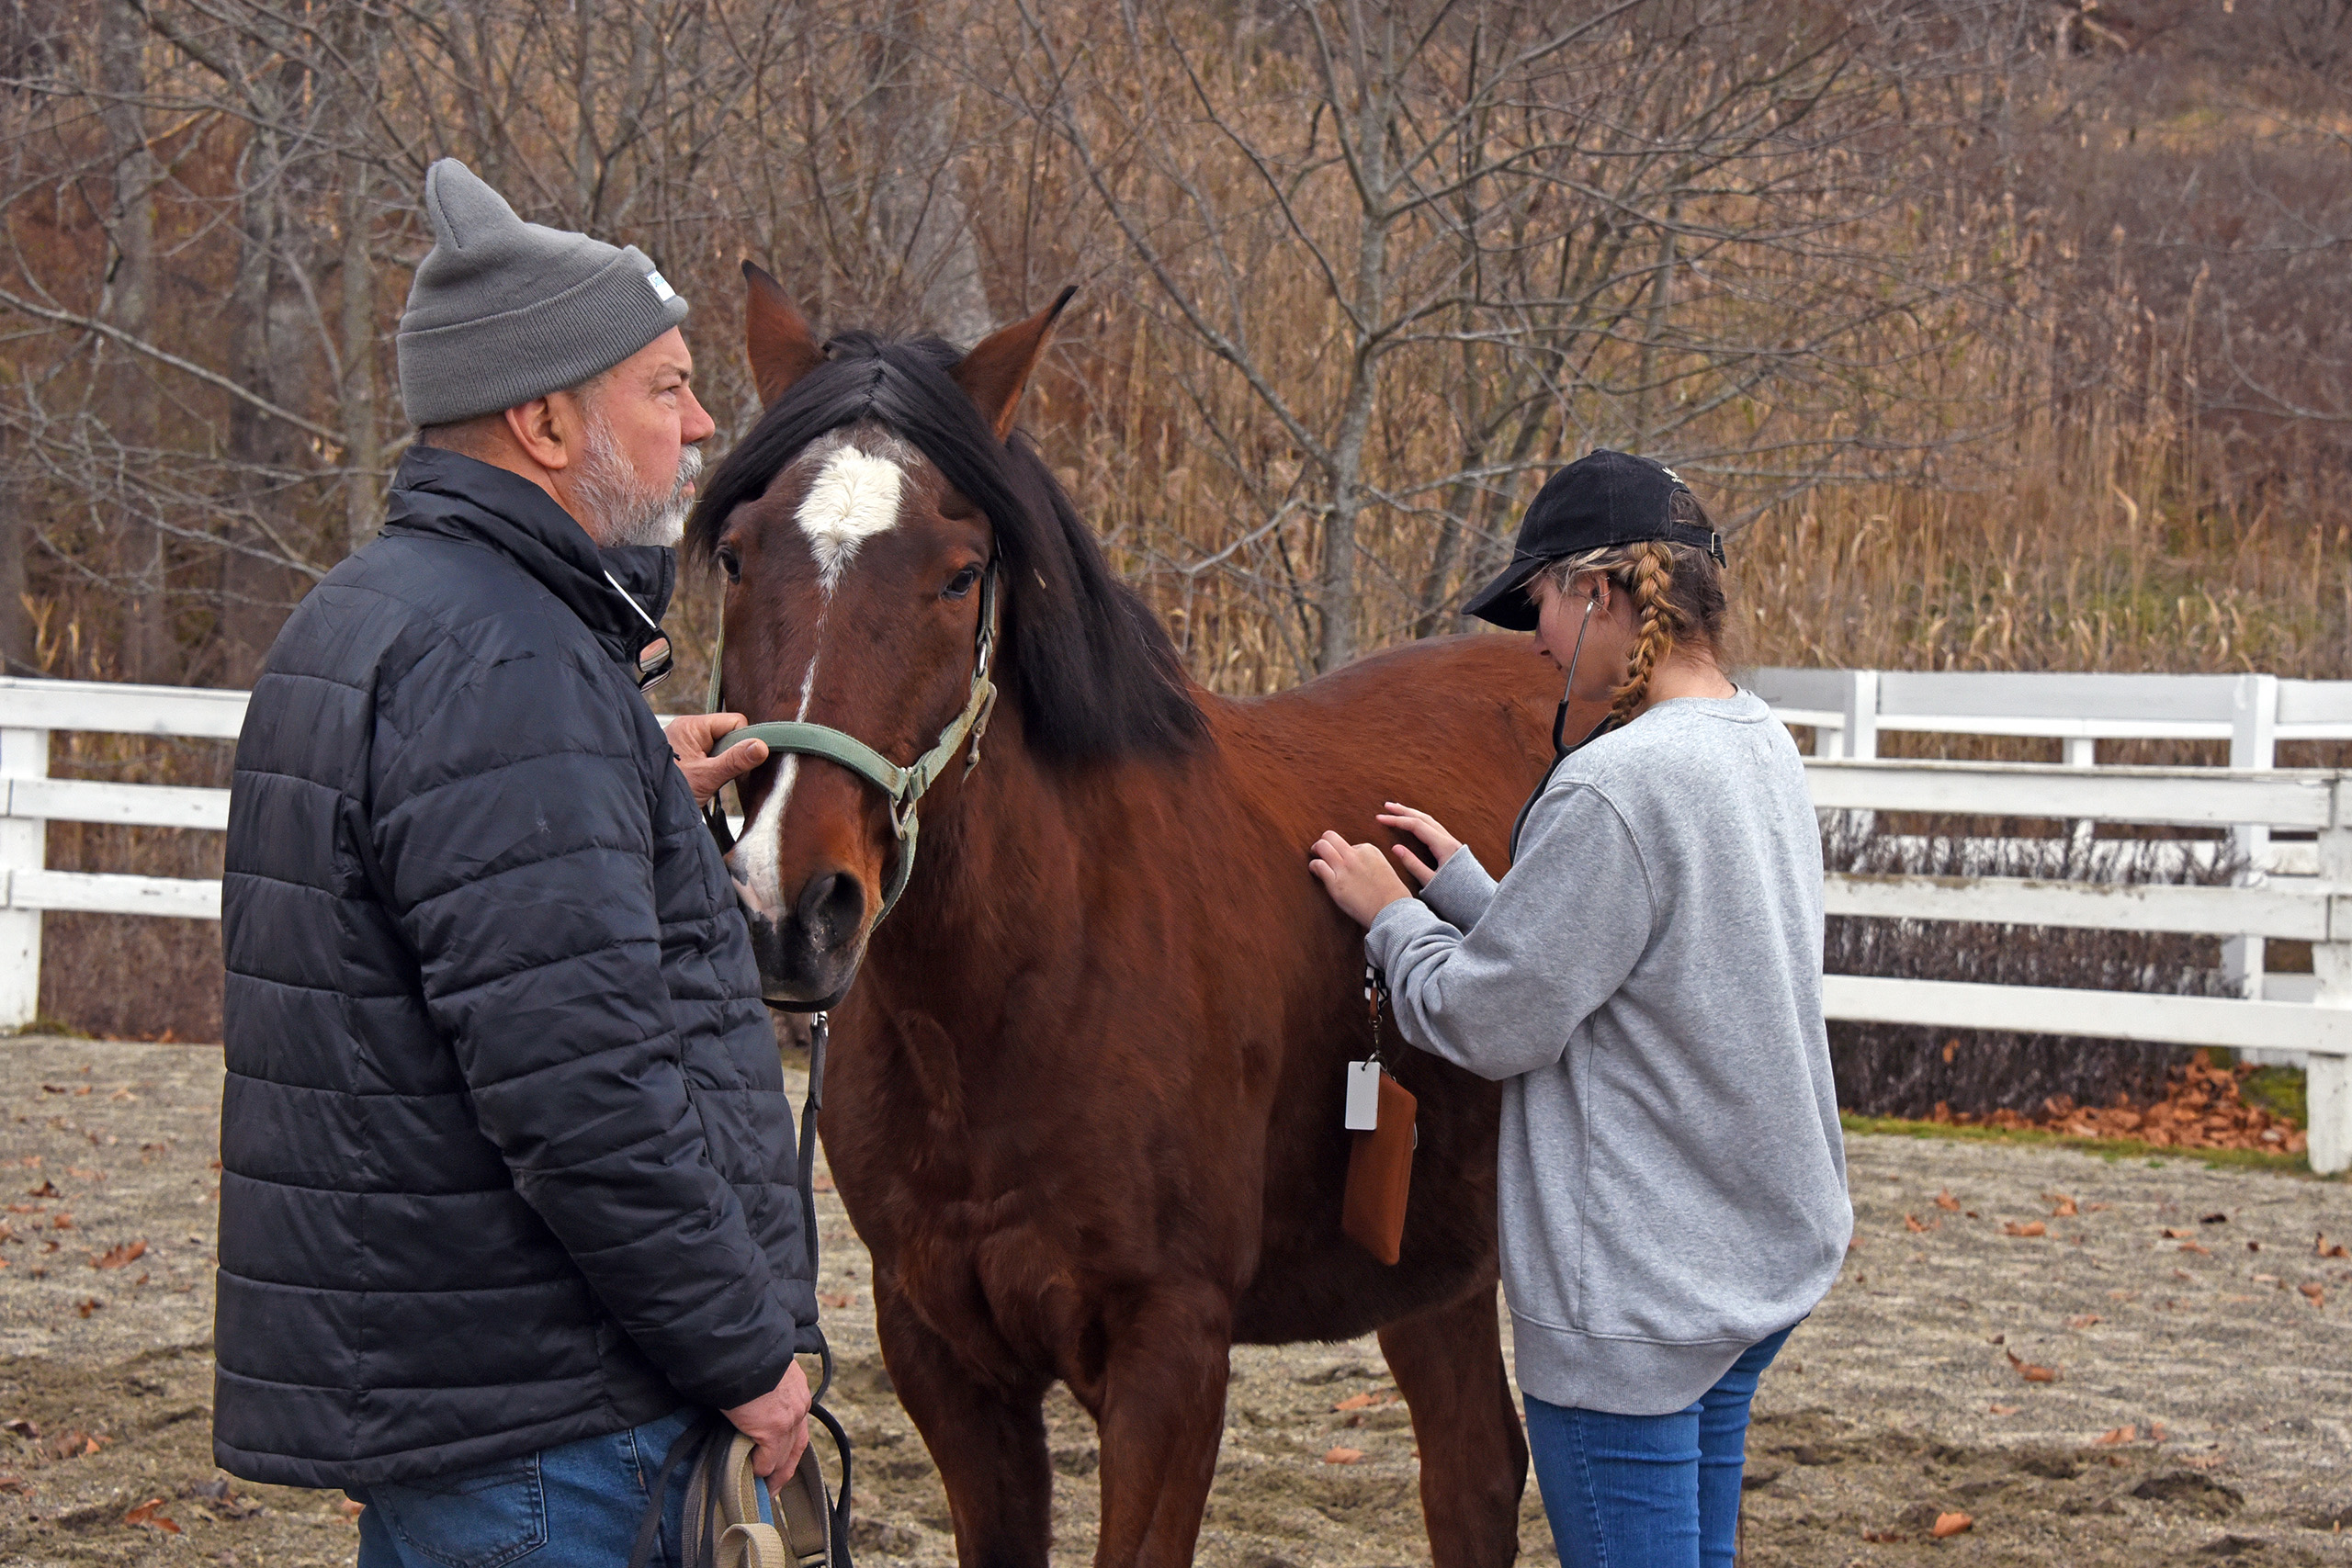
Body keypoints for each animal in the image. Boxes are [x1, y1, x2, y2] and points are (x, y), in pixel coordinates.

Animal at [695, 270, 1580, 1568]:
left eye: (958, 573)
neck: (1017, 998)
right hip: (1435, 1268)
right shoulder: (944, 1358)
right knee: (1471, 1477)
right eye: (736, 556)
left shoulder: (1170, 1354)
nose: (789, 905)